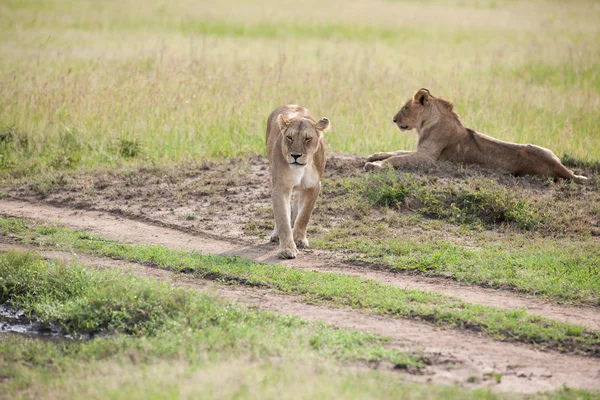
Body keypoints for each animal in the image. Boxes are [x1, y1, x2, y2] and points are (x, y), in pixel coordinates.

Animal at [364, 89, 588, 181]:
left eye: (405, 108)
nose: (394, 120)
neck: (426, 123)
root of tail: (560, 168)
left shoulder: (428, 157)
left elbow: (398, 158)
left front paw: (376, 165)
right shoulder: (421, 150)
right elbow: (396, 152)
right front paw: (374, 155)